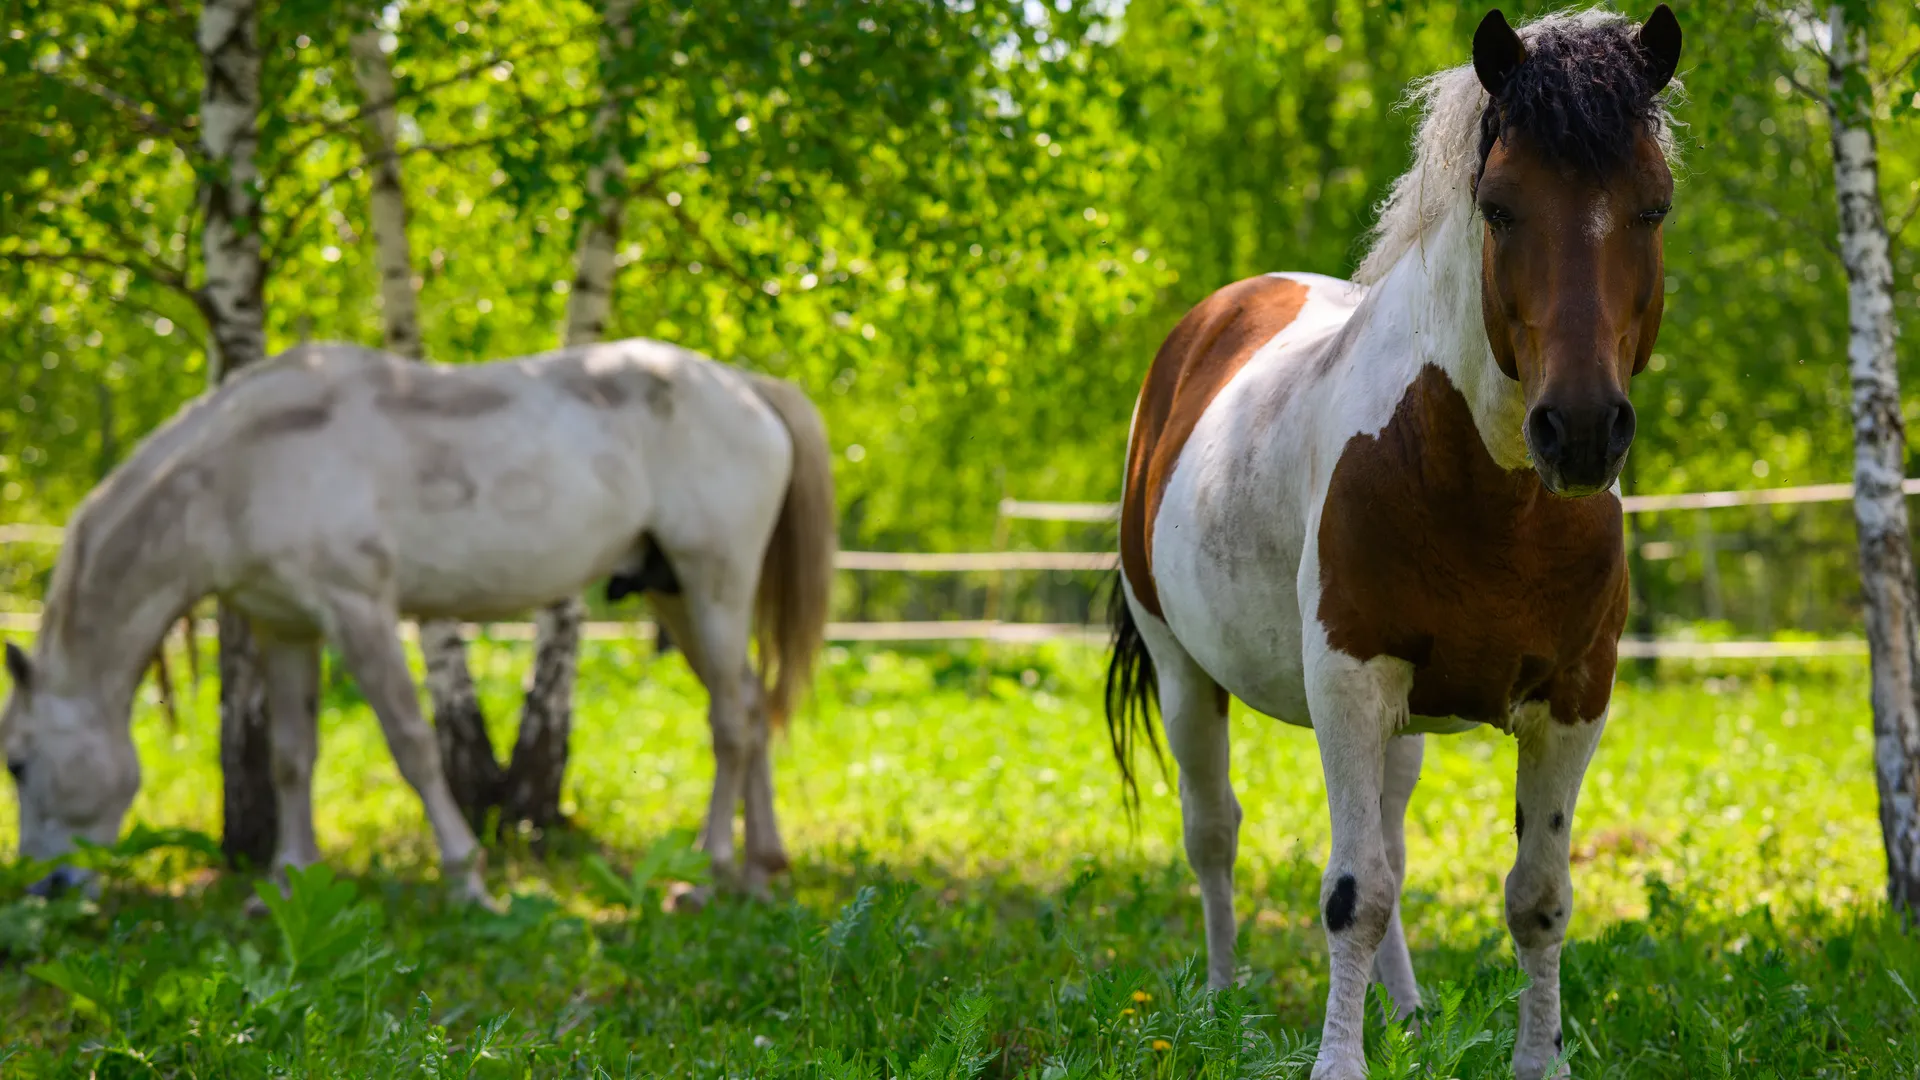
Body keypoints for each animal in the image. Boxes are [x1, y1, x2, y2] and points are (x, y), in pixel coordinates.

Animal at [3, 337, 836, 905]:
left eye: (15, 761)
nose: (43, 887)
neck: (243, 466)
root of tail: (746, 387)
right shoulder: (287, 627)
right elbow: (290, 754)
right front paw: (289, 880)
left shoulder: (360, 611)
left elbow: (413, 744)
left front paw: (467, 879)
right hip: (673, 592)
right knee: (750, 706)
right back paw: (762, 866)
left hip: (713, 581)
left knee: (729, 720)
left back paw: (708, 871)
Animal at [1105, 9, 1681, 1079]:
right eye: (1499, 208)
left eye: (1653, 207)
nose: (1581, 432)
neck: (1489, 489)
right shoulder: (1349, 677)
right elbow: (1351, 893)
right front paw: (1338, 1061)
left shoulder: (1575, 698)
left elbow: (1537, 898)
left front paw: (1536, 1060)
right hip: (1183, 672)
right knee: (1215, 834)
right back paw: (1220, 1000)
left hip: (1403, 723)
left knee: (1393, 845)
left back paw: (1407, 1011)